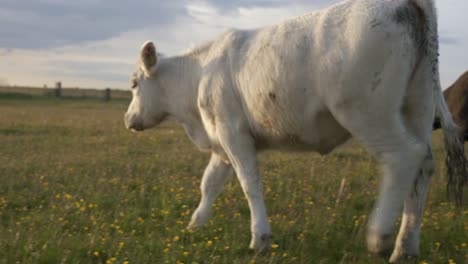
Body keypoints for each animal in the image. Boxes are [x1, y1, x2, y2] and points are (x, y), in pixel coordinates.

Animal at [123, 0, 464, 262]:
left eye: (134, 83)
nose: (128, 119)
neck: (198, 75)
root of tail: (405, 3)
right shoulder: (222, 143)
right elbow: (209, 184)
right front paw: (195, 225)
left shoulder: (234, 134)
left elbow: (250, 184)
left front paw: (260, 238)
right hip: (417, 107)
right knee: (423, 168)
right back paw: (405, 248)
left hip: (369, 113)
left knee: (403, 157)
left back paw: (379, 237)